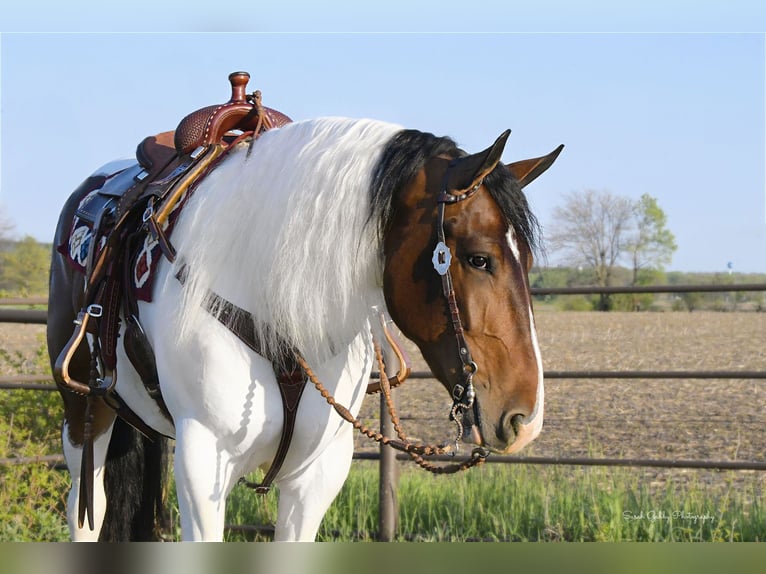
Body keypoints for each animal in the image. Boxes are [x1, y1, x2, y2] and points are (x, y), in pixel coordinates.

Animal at [49, 113, 564, 544]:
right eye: (479, 258)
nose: (526, 419)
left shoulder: (317, 476)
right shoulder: (202, 463)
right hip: (85, 412)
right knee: (87, 511)